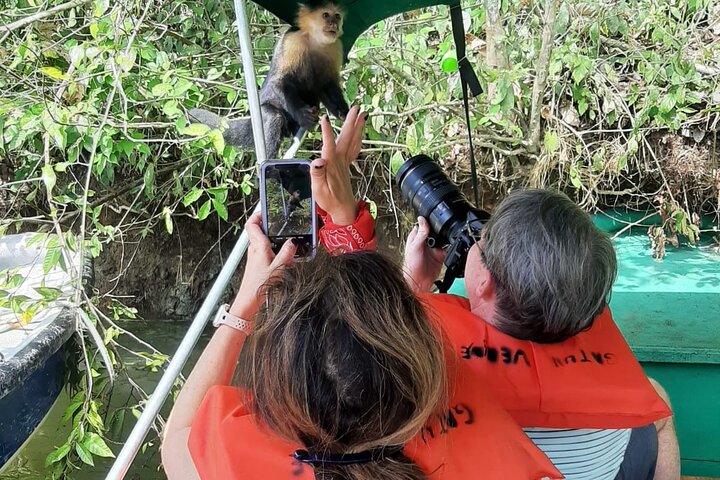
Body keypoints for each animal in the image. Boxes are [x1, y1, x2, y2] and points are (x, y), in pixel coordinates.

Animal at [189, 2, 349, 159]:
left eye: (337, 16)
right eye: (325, 15)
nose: (334, 24)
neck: (316, 41)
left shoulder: (335, 46)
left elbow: (326, 84)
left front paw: (343, 112)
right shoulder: (293, 41)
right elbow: (279, 81)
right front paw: (302, 114)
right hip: (263, 113)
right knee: (274, 117)